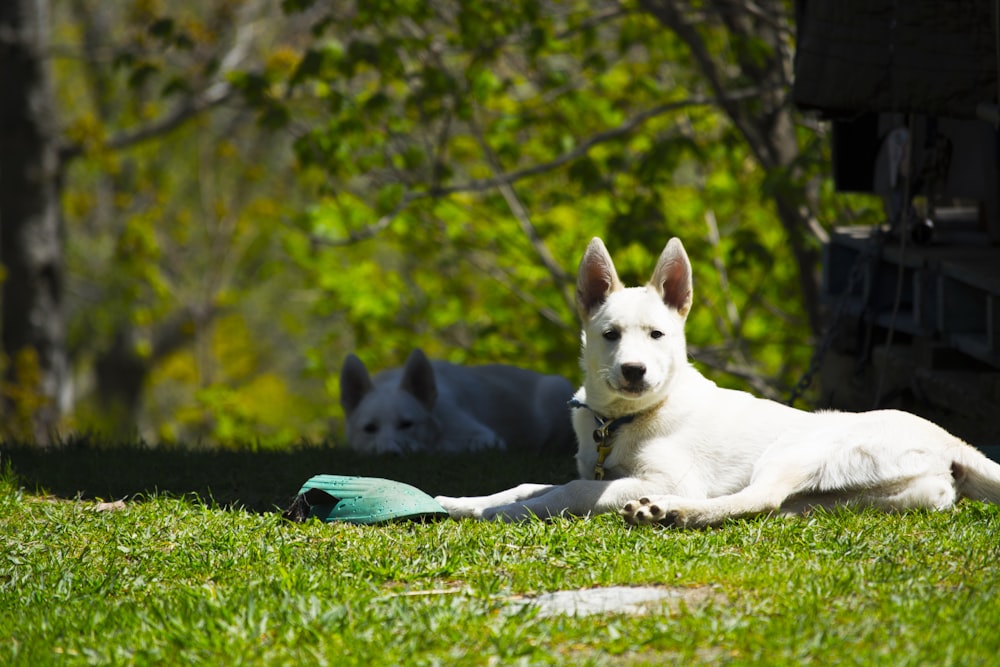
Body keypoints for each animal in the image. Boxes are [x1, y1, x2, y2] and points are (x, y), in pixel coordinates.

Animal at [434, 237, 1000, 524]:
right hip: (857, 495)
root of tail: (950, 440)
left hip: (797, 448)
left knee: (758, 498)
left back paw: (668, 511)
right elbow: (529, 483)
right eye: (610, 335)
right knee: (775, 506)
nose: (634, 371)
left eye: (657, 334)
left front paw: (506, 512)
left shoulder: (666, 475)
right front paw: (464, 503)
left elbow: (568, 491)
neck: (625, 421)